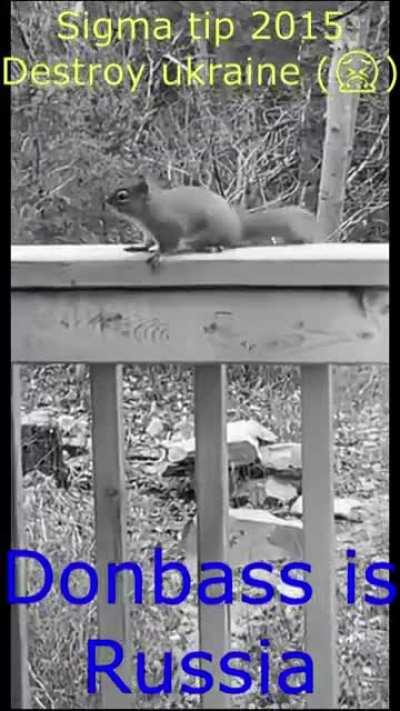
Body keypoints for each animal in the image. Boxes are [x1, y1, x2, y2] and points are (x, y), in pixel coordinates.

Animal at [106, 175, 324, 267]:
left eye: (122, 196)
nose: (106, 201)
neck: (147, 210)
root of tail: (238, 228)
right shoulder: (148, 232)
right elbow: (147, 242)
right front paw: (139, 247)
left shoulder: (169, 227)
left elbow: (169, 245)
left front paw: (159, 254)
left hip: (210, 232)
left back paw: (211, 247)